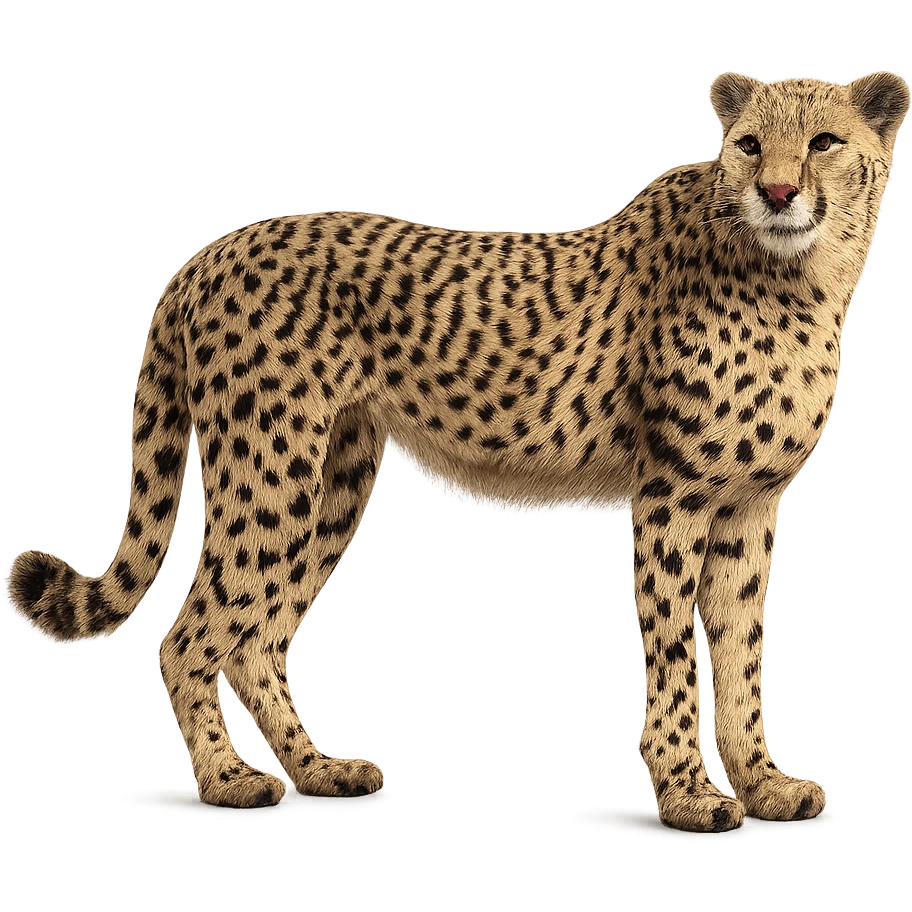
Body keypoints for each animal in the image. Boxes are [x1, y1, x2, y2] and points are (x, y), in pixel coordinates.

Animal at [7, 71, 907, 830]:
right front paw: (688, 793)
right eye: (749, 144)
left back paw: (315, 770)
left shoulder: (750, 503)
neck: (799, 273)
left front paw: (761, 782)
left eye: (825, 141)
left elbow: (744, 646)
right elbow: (675, 651)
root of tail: (215, 249)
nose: (777, 191)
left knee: (257, 636)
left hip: (328, 481)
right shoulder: (672, 496)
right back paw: (227, 780)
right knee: (192, 632)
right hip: (268, 469)